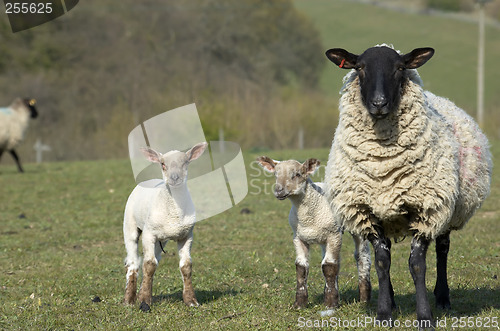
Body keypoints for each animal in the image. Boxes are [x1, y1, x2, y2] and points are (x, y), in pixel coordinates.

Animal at [124, 143, 208, 312]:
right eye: (163, 164)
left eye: (185, 162)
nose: (174, 178)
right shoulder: (149, 233)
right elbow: (149, 265)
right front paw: (144, 302)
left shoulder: (186, 235)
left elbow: (186, 266)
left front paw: (191, 300)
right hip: (130, 225)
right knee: (134, 262)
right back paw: (129, 299)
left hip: (161, 239)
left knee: (154, 258)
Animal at [258, 157, 372, 310]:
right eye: (275, 175)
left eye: (297, 174)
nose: (279, 191)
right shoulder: (298, 237)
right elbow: (302, 267)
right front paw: (300, 303)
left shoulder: (333, 234)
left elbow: (329, 266)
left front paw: (330, 304)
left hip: (357, 226)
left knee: (361, 256)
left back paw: (364, 298)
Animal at [324, 44, 492, 330]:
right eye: (360, 68)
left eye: (400, 68)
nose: (379, 103)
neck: (383, 163)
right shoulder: (367, 211)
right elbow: (382, 262)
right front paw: (383, 313)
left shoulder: (427, 209)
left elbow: (417, 265)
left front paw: (425, 316)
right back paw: (391, 300)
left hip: (447, 209)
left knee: (443, 250)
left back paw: (443, 297)